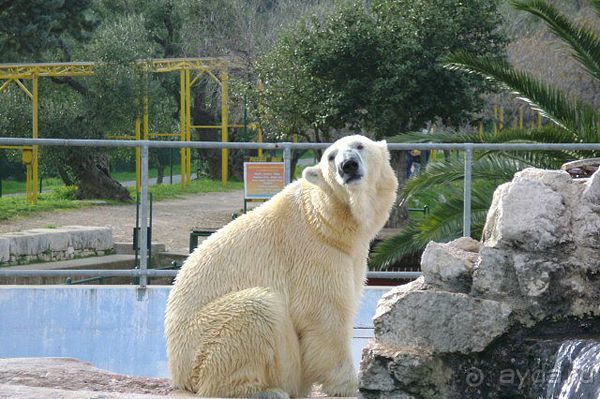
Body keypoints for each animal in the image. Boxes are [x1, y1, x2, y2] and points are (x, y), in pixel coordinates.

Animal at [164, 136, 398, 398]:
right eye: (331, 156)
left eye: (359, 145)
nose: (347, 165)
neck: (326, 219)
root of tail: (179, 374)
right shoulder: (313, 253)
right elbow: (324, 314)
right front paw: (349, 386)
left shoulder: (351, 256)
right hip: (202, 341)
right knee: (256, 309)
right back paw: (264, 390)